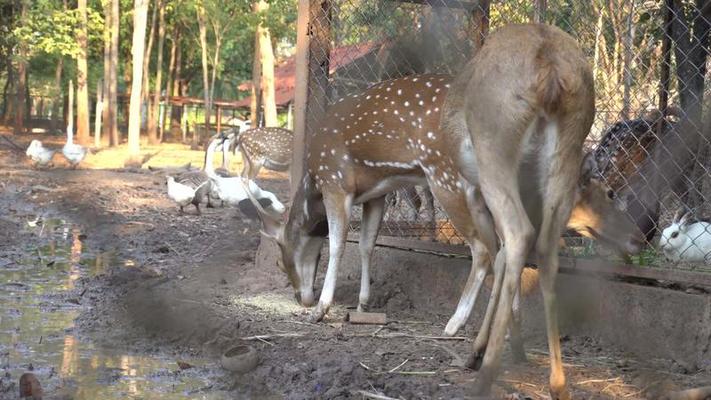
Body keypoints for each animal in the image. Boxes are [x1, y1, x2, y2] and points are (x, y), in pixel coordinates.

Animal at [248, 25, 644, 356]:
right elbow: (367, 244)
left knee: (488, 249)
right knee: (511, 245)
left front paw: (323, 308)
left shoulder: (336, 180)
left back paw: (459, 327)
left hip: (449, 178)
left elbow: (337, 242)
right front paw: (362, 302)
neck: (312, 181)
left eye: (281, 258)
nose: (299, 297)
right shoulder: (376, 191)